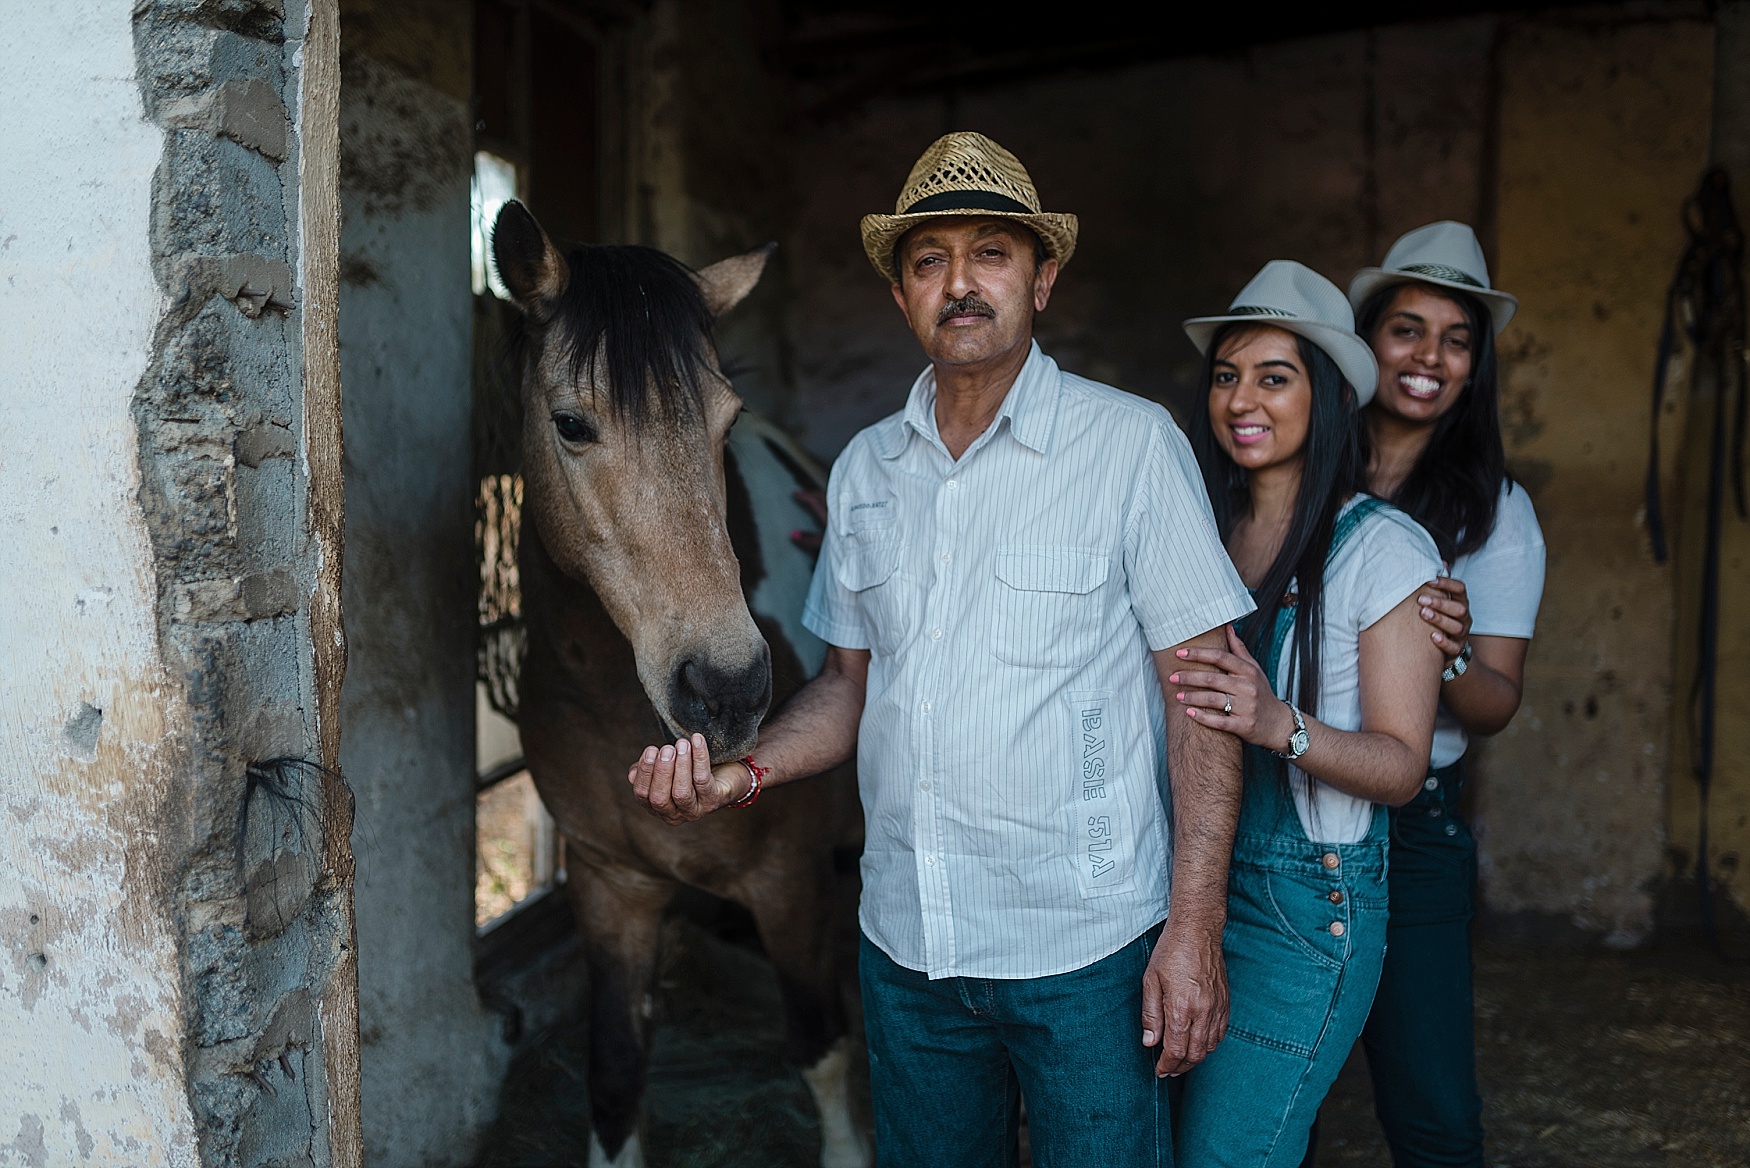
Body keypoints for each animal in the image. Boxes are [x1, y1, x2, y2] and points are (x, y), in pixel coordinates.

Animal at [490, 203, 864, 1168]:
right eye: (572, 423)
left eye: (727, 423)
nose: (729, 690)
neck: (610, 698)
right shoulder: (609, 887)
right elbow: (615, 1077)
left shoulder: (791, 882)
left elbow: (824, 1051)